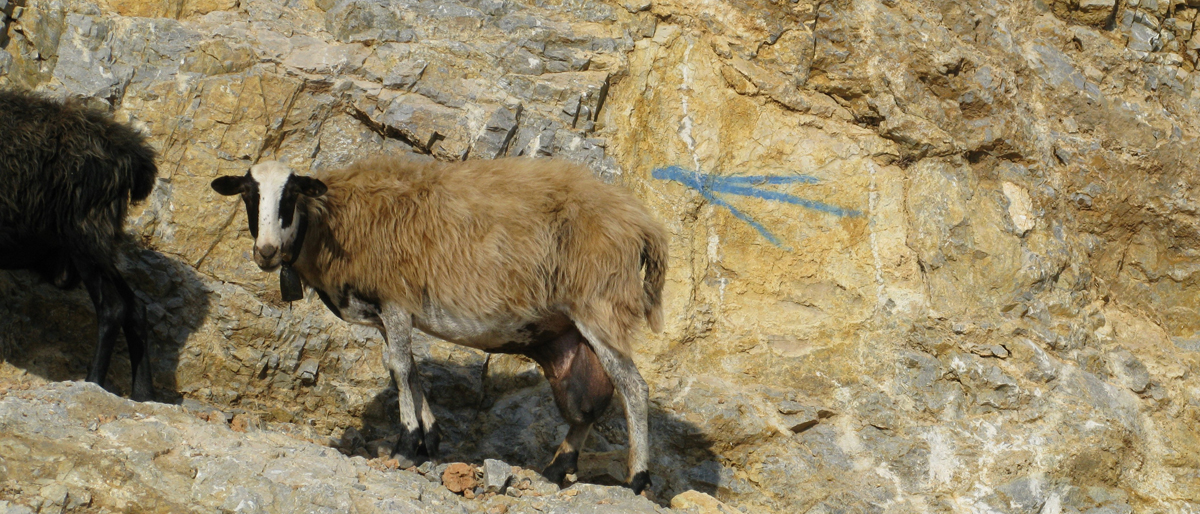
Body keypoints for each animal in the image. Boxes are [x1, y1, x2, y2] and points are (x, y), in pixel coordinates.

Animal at [0, 89, 159, 401]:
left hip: (85, 234)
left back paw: (93, 381)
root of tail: (135, 155)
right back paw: (142, 395)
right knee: (135, 307)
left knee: (113, 308)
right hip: (95, 244)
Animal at [211, 156, 668, 493]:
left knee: (632, 386)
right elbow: (405, 368)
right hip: (572, 334)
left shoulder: (395, 302)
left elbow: (399, 367)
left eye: (290, 196)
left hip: (601, 305)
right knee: (588, 403)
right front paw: (428, 438)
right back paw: (558, 467)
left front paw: (406, 445)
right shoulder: (388, 314)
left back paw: (638, 479)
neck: (330, 224)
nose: (266, 252)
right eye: (249, 195)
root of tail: (643, 225)